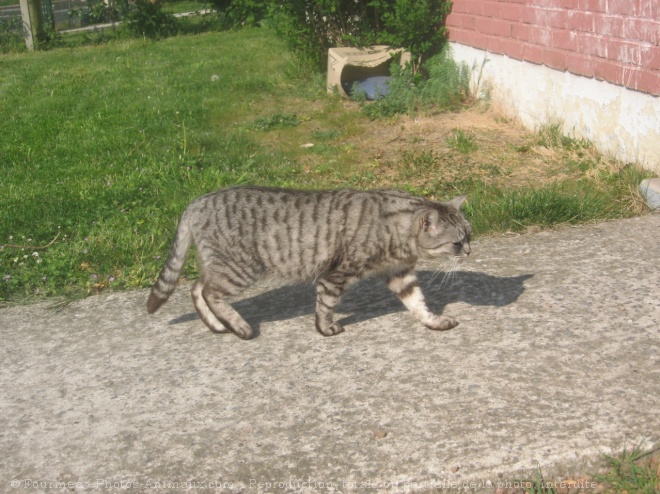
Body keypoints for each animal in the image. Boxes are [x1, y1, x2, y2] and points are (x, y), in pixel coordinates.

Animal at [147, 186, 472, 340]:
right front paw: (325, 328)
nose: (469, 251)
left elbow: (418, 303)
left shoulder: (401, 274)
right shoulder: (335, 275)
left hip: (220, 265)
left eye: (469, 235)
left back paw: (217, 325)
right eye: (457, 242)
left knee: (196, 288)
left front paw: (433, 321)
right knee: (210, 292)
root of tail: (196, 202)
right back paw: (239, 326)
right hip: (239, 269)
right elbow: (326, 305)